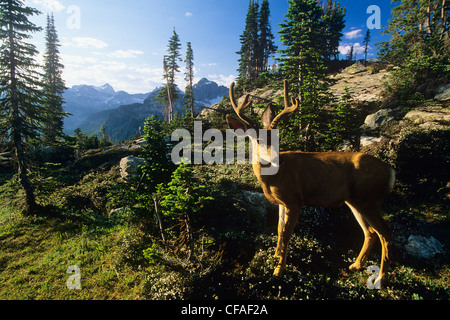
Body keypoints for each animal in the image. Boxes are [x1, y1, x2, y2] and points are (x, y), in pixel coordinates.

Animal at [227, 80, 396, 284]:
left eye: (277, 137)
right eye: (257, 139)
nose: (275, 158)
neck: (272, 178)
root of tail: (390, 171)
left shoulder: (294, 200)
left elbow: (286, 234)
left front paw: (279, 270)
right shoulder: (282, 202)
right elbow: (279, 229)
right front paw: (275, 256)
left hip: (369, 200)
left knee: (385, 232)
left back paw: (381, 279)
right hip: (356, 201)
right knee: (370, 232)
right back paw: (356, 265)